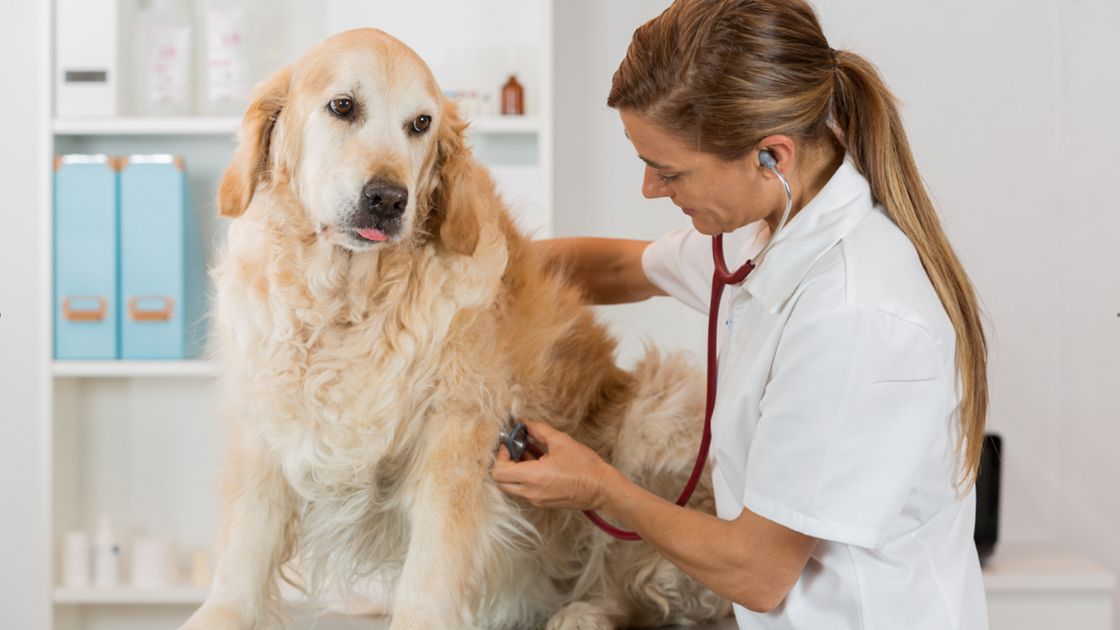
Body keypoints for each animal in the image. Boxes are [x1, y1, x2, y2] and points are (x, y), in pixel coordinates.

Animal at [181, 29, 725, 627]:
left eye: (420, 123)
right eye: (342, 106)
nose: (389, 199)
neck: (346, 300)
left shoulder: (459, 430)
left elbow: (432, 562)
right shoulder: (268, 417)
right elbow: (245, 543)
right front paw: (220, 613)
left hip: (658, 404)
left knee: (627, 574)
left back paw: (582, 611)